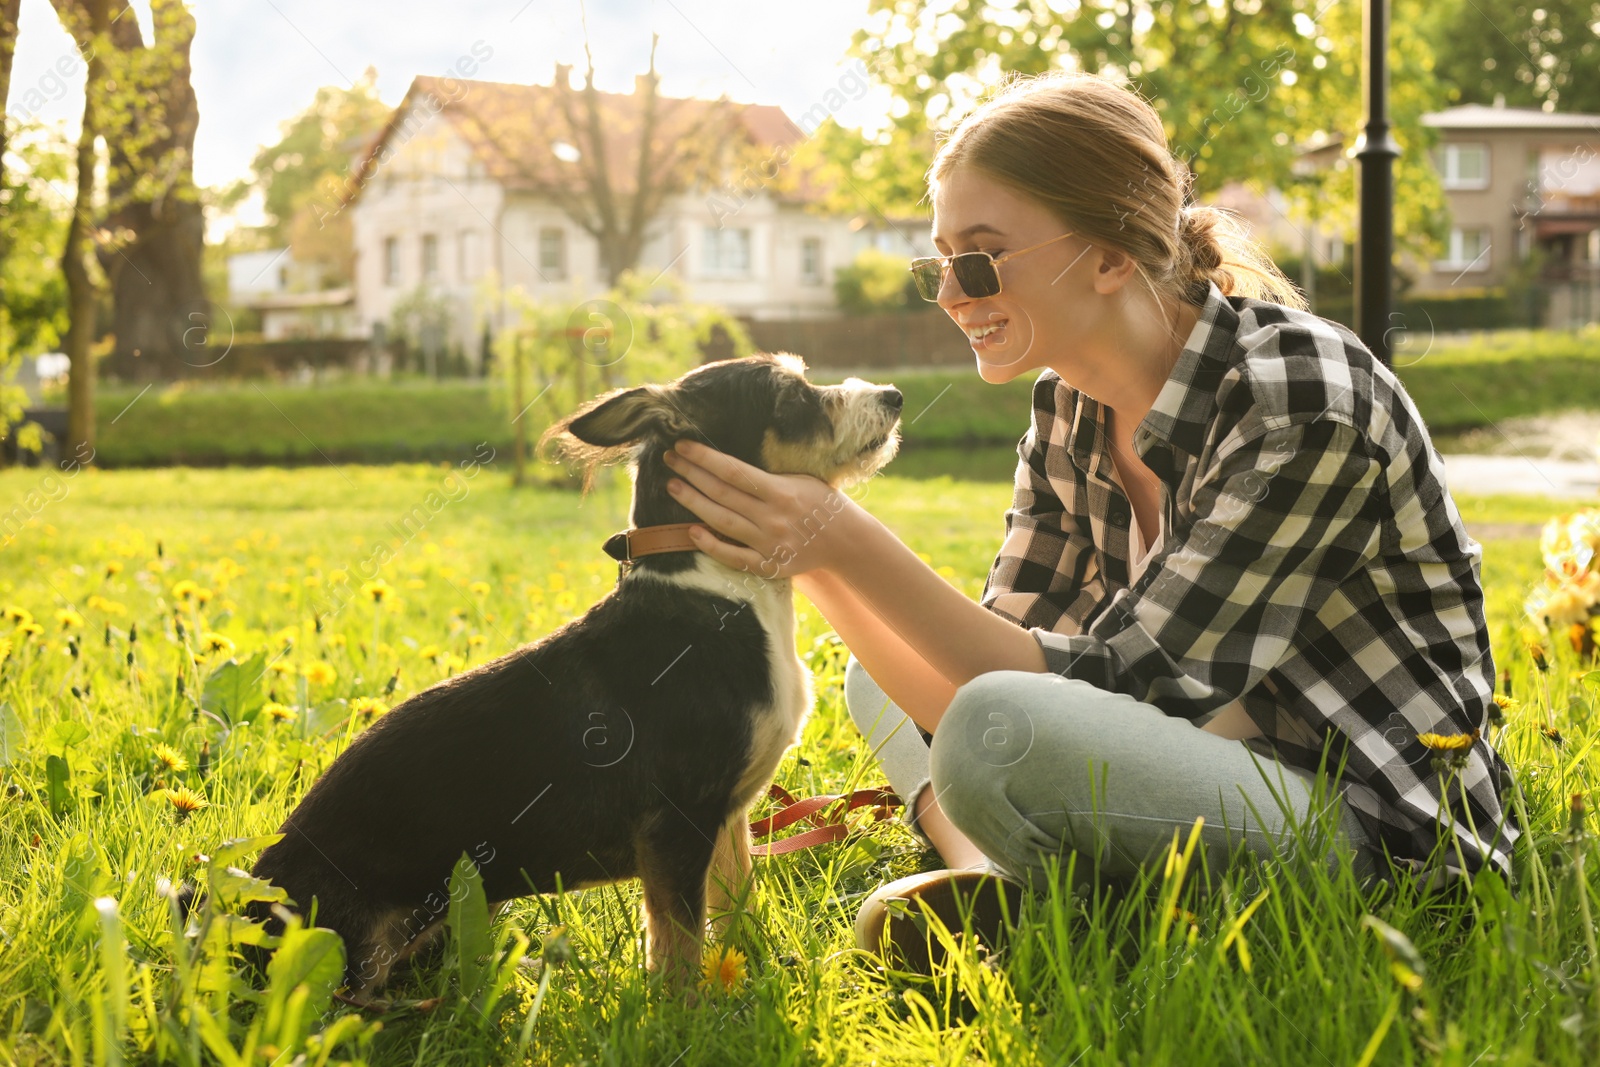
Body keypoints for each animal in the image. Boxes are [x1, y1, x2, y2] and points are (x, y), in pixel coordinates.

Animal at [248, 355, 902, 998]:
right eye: (793, 400)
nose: (894, 395)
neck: (723, 587)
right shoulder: (676, 823)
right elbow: (680, 941)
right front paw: (686, 1010)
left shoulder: (724, 819)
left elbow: (736, 904)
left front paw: (754, 974)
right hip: (349, 947)